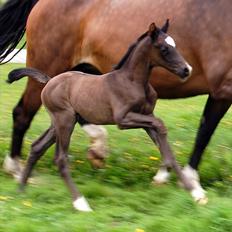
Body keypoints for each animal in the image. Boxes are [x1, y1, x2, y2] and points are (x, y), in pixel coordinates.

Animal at [8, 22, 200, 212]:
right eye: (164, 48)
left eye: (175, 44)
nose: (187, 70)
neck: (133, 82)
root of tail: (49, 81)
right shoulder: (123, 119)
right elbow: (160, 125)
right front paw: (167, 171)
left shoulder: (146, 116)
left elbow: (163, 140)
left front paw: (194, 192)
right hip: (65, 120)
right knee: (60, 159)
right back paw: (81, 203)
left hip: (60, 123)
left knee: (37, 147)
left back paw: (21, 189)